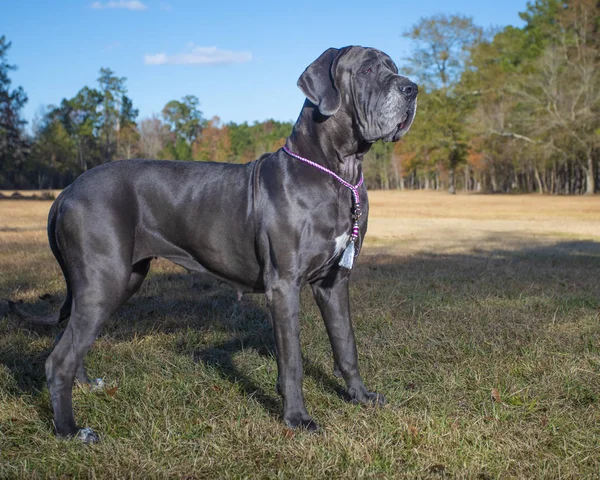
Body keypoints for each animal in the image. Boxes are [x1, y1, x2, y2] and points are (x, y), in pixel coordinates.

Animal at [14, 46, 418, 442]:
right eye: (366, 71)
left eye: (393, 66)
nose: (412, 89)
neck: (338, 174)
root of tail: (67, 190)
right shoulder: (284, 285)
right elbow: (293, 361)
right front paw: (296, 418)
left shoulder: (334, 282)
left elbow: (346, 344)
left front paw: (361, 397)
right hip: (104, 279)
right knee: (58, 359)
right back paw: (70, 431)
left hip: (119, 279)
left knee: (72, 340)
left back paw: (85, 387)